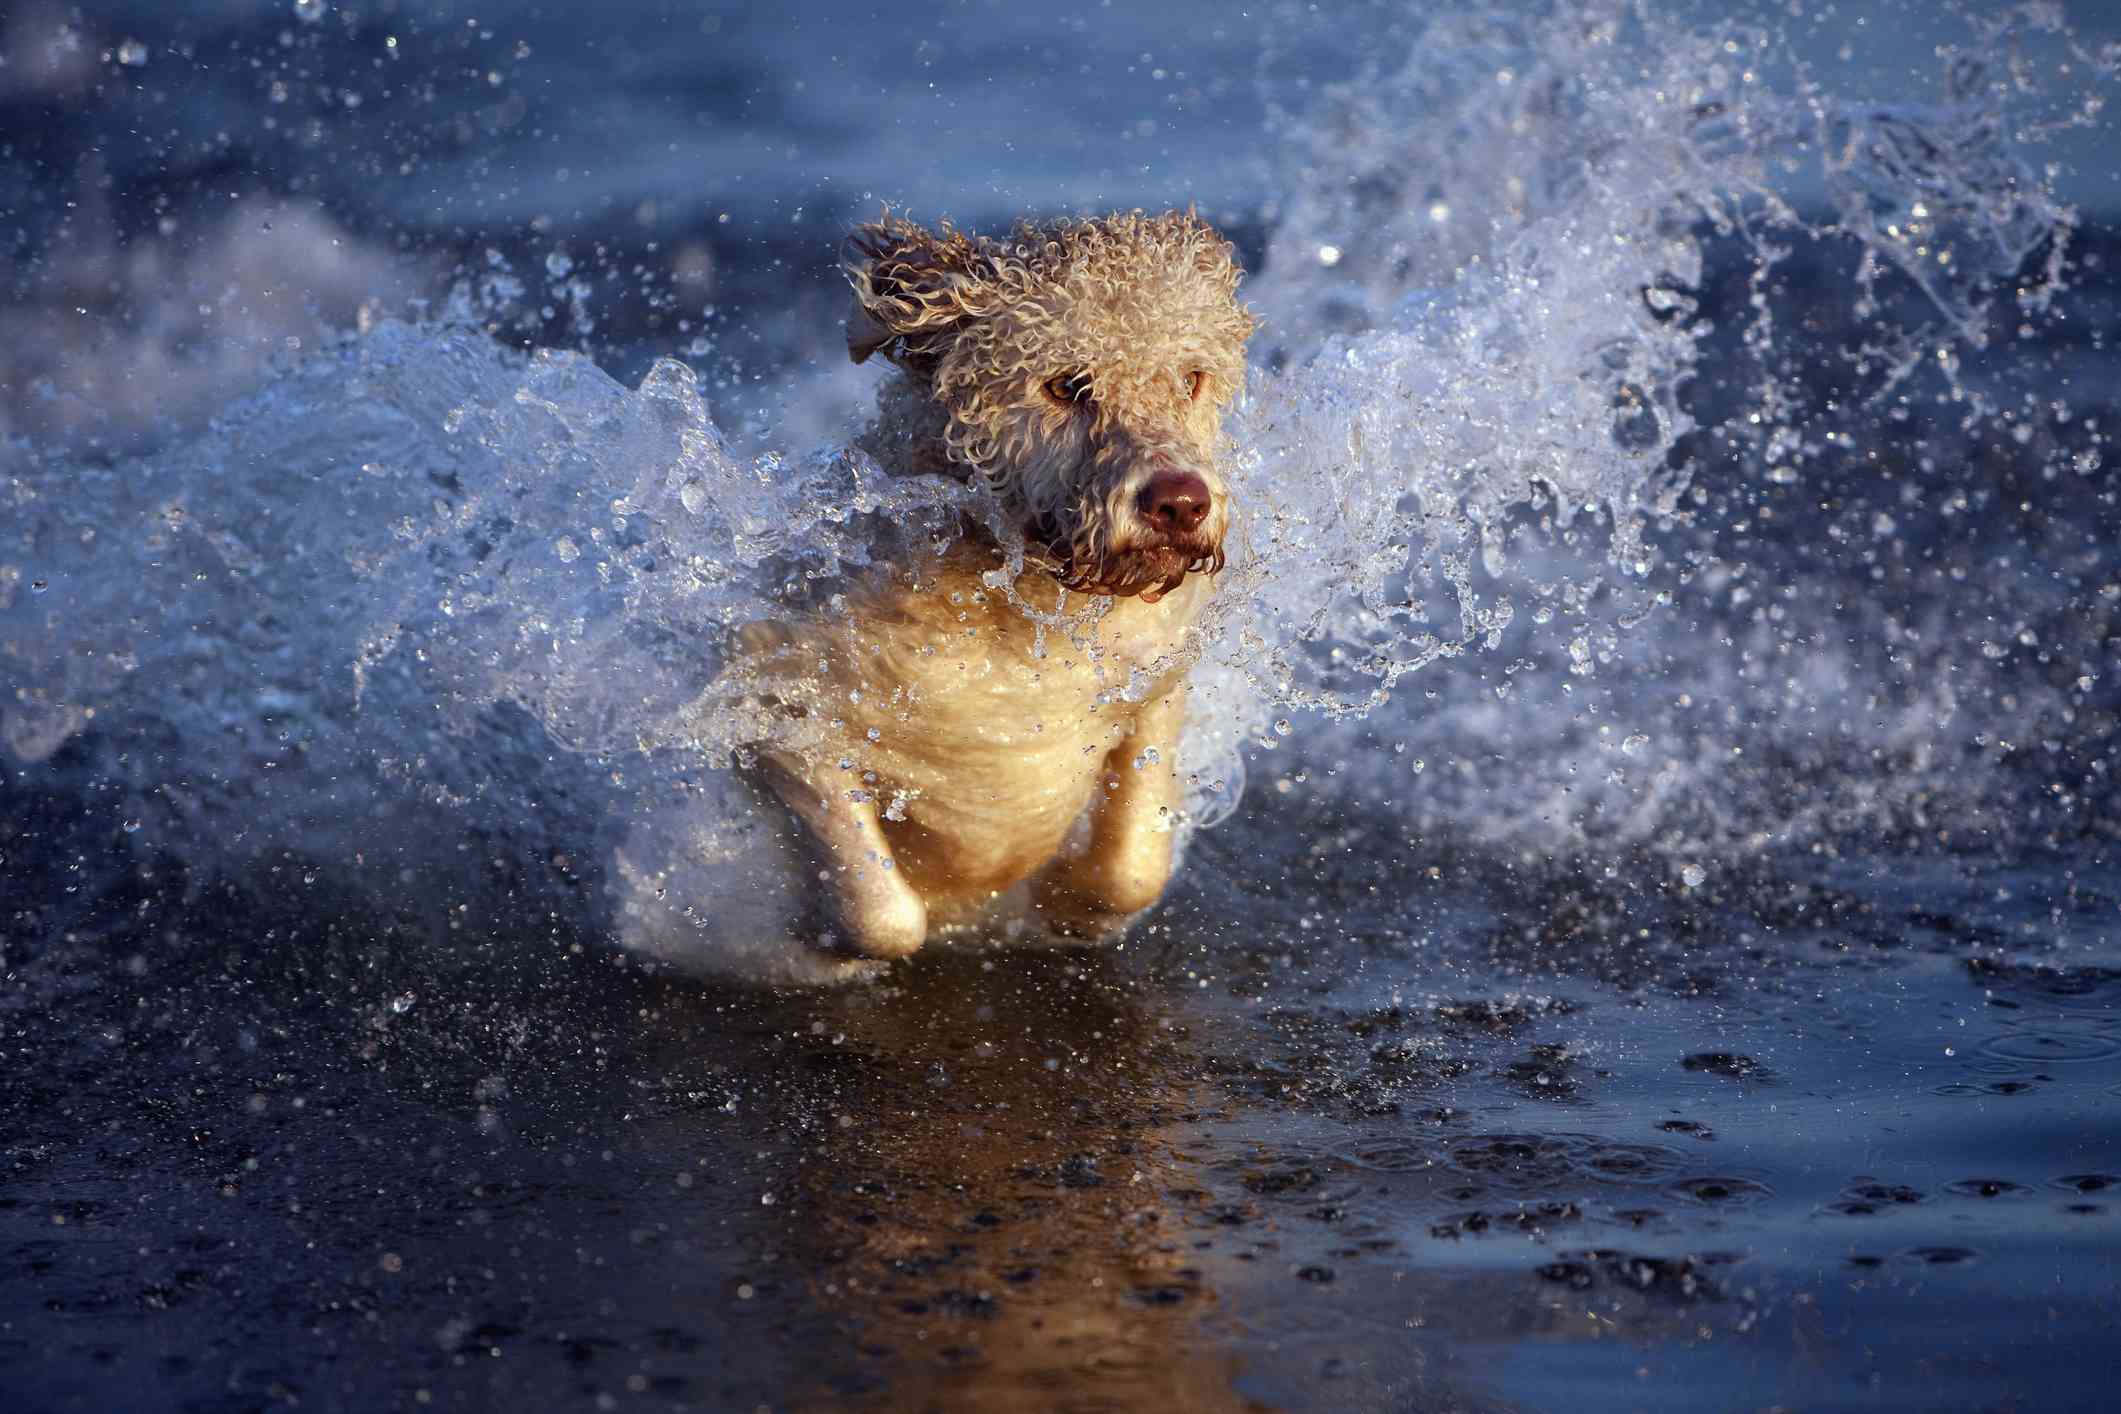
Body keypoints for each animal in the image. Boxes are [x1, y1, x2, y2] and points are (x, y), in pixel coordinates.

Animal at [615, 213, 1247, 983]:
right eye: (1066, 385)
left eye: (1191, 378)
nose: (1179, 502)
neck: (1023, 619)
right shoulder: (776, 699)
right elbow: (882, 913)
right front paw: (813, 941)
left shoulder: (1156, 684)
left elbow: (1133, 870)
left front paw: (1072, 903)